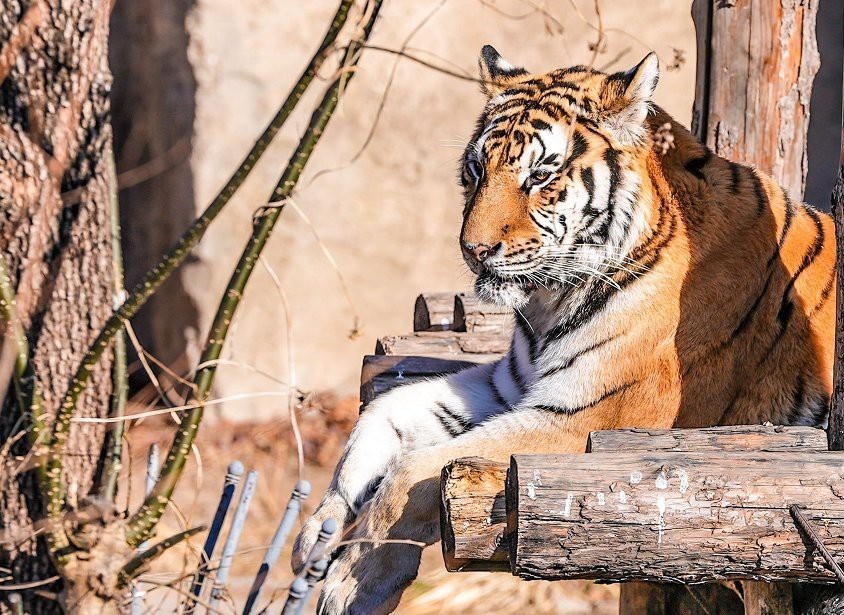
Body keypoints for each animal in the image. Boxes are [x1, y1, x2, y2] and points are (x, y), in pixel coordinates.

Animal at [292, 46, 837, 615]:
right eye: (476, 169)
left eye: (539, 176)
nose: (474, 250)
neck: (549, 302)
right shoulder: (507, 386)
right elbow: (385, 411)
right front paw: (318, 534)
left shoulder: (584, 421)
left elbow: (415, 472)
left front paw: (353, 582)